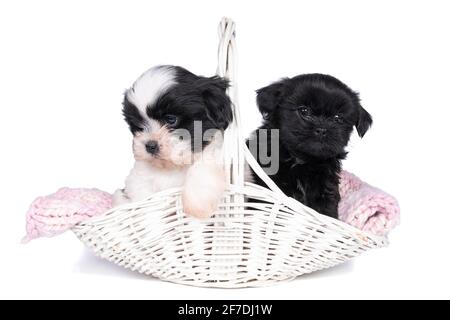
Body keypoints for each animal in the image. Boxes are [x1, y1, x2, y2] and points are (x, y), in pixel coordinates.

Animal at [113, 65, 232, 220]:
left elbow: (203, 167)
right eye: (138, 126)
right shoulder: (138, 178)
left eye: (171, 119)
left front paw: (197, 205)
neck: (171, 166)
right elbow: (143, 199)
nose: (150, 145)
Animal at [250, 73, 372, 218]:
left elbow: (326, 210)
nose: (322, 129)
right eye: (304, 111)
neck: (302, 160)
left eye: (338, 118)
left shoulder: (327, 186)